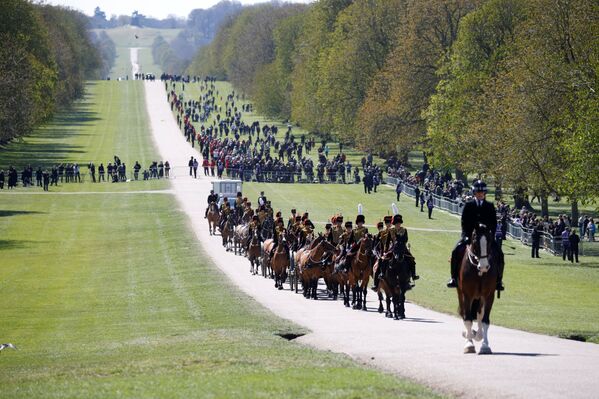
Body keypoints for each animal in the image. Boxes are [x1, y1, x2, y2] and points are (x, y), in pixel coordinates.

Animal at [458, 223, 500, 354]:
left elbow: (485, 320)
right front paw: (469, 344)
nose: (484, 266)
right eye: (475, 241)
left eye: (489, 241)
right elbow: (467, 319)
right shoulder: (467, 295)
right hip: (461, 293)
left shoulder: (489, 295)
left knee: (479, 314)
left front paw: (485, 345)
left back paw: (478, 335)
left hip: (480, 297)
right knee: (465, 313)